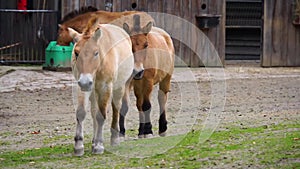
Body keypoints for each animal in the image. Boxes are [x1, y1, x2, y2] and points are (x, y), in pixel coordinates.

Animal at [68, 23, 134, 156]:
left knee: (116, 108)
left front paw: (99, 145)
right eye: (76, 53)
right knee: (94, 112)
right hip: (93, 92)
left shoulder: (105, 87)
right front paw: (79, 145)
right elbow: (81, 113)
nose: (85, 82)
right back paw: (93, 142)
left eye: (96, 53)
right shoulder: (81, 87)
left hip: (118, 88)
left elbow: (101, 116)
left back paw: (114, 138)